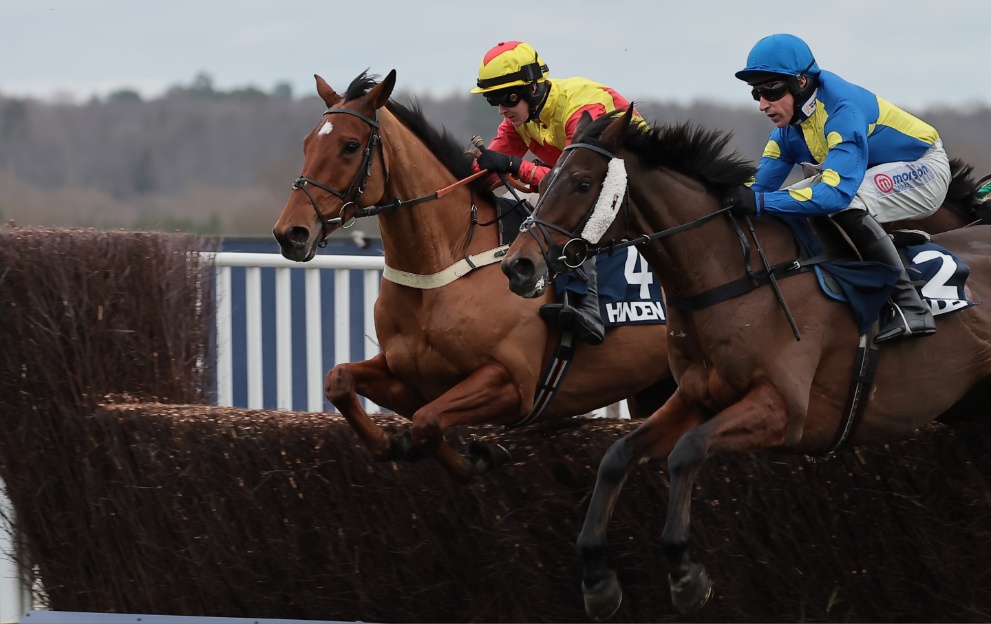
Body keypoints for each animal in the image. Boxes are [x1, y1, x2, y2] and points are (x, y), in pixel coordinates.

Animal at [270, 72, 676, 482]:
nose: (291, 233)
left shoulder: (512, 384)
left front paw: (479, 456)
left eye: (350, 146)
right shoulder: (407, 378)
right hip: (653, 386)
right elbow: (339, 380)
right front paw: (394, 444)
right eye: (307, 142)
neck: (444, 269)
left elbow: (427, 422)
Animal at [500, 107, 991, 620]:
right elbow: (617, 456)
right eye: (545, 177)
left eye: (581, 183)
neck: (735, 276)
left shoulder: (784, 409)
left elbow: (688, 451)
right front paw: (598, 578)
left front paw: (685, 572)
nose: (518, 266)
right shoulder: (696, 397)